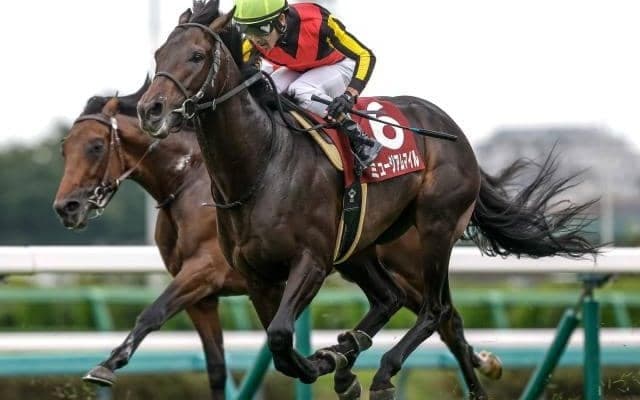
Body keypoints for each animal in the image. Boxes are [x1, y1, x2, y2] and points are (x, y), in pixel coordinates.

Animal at [53, 80, 503, 399]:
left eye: (96, 146)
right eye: (63, 149)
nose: (66, 207)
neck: (189, 182)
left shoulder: (205, 271)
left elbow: (152, 312)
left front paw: (108, 364)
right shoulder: (205, 297)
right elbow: (215, 367)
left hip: (415, 257)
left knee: (444, 316)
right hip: (360, 257)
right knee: (419, 310)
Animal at [136, 3, 597, 398]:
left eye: (196, 56)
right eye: (159, 54)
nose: (150, 110)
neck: (261, 164)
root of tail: (454, 132)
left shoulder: (312, 261)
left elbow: (282, 337)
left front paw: (328, 364)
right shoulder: (255, 275)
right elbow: (279, 348)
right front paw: (332, 362)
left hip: (434, 229)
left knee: (437, 310)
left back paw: (385, 371)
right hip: (360, 246)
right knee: (390, 298)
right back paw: (348, 354)